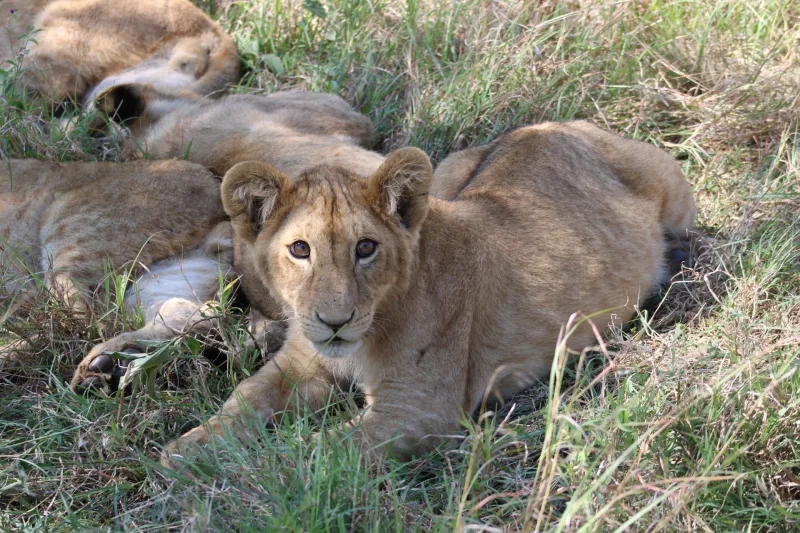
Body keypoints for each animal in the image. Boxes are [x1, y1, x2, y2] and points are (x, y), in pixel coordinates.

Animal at [160, 120, 697, 465]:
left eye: (366, 248)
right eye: (299, 250)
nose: (334, 322)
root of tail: (563, 125)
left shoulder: (417, 412)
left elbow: (315, 456)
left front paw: (247, 474)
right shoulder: (301, 365)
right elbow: (246, 396)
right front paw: (189, 450)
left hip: (672, 190)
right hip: (448, 171)